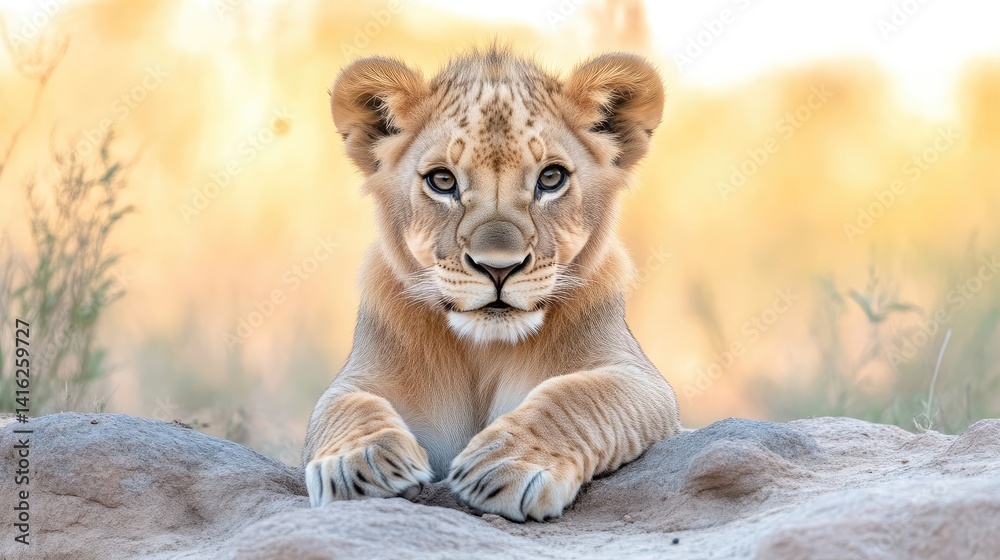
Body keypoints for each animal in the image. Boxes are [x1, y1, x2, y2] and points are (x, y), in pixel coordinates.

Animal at [303, 48, 681, 522]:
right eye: (442, 181)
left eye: (551, 178)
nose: (498, 268)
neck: (484, 351)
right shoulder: (363, 375)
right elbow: (344, 404)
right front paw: (359, 463)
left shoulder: (645, 382)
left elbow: (581, 394)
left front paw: (506, 464)